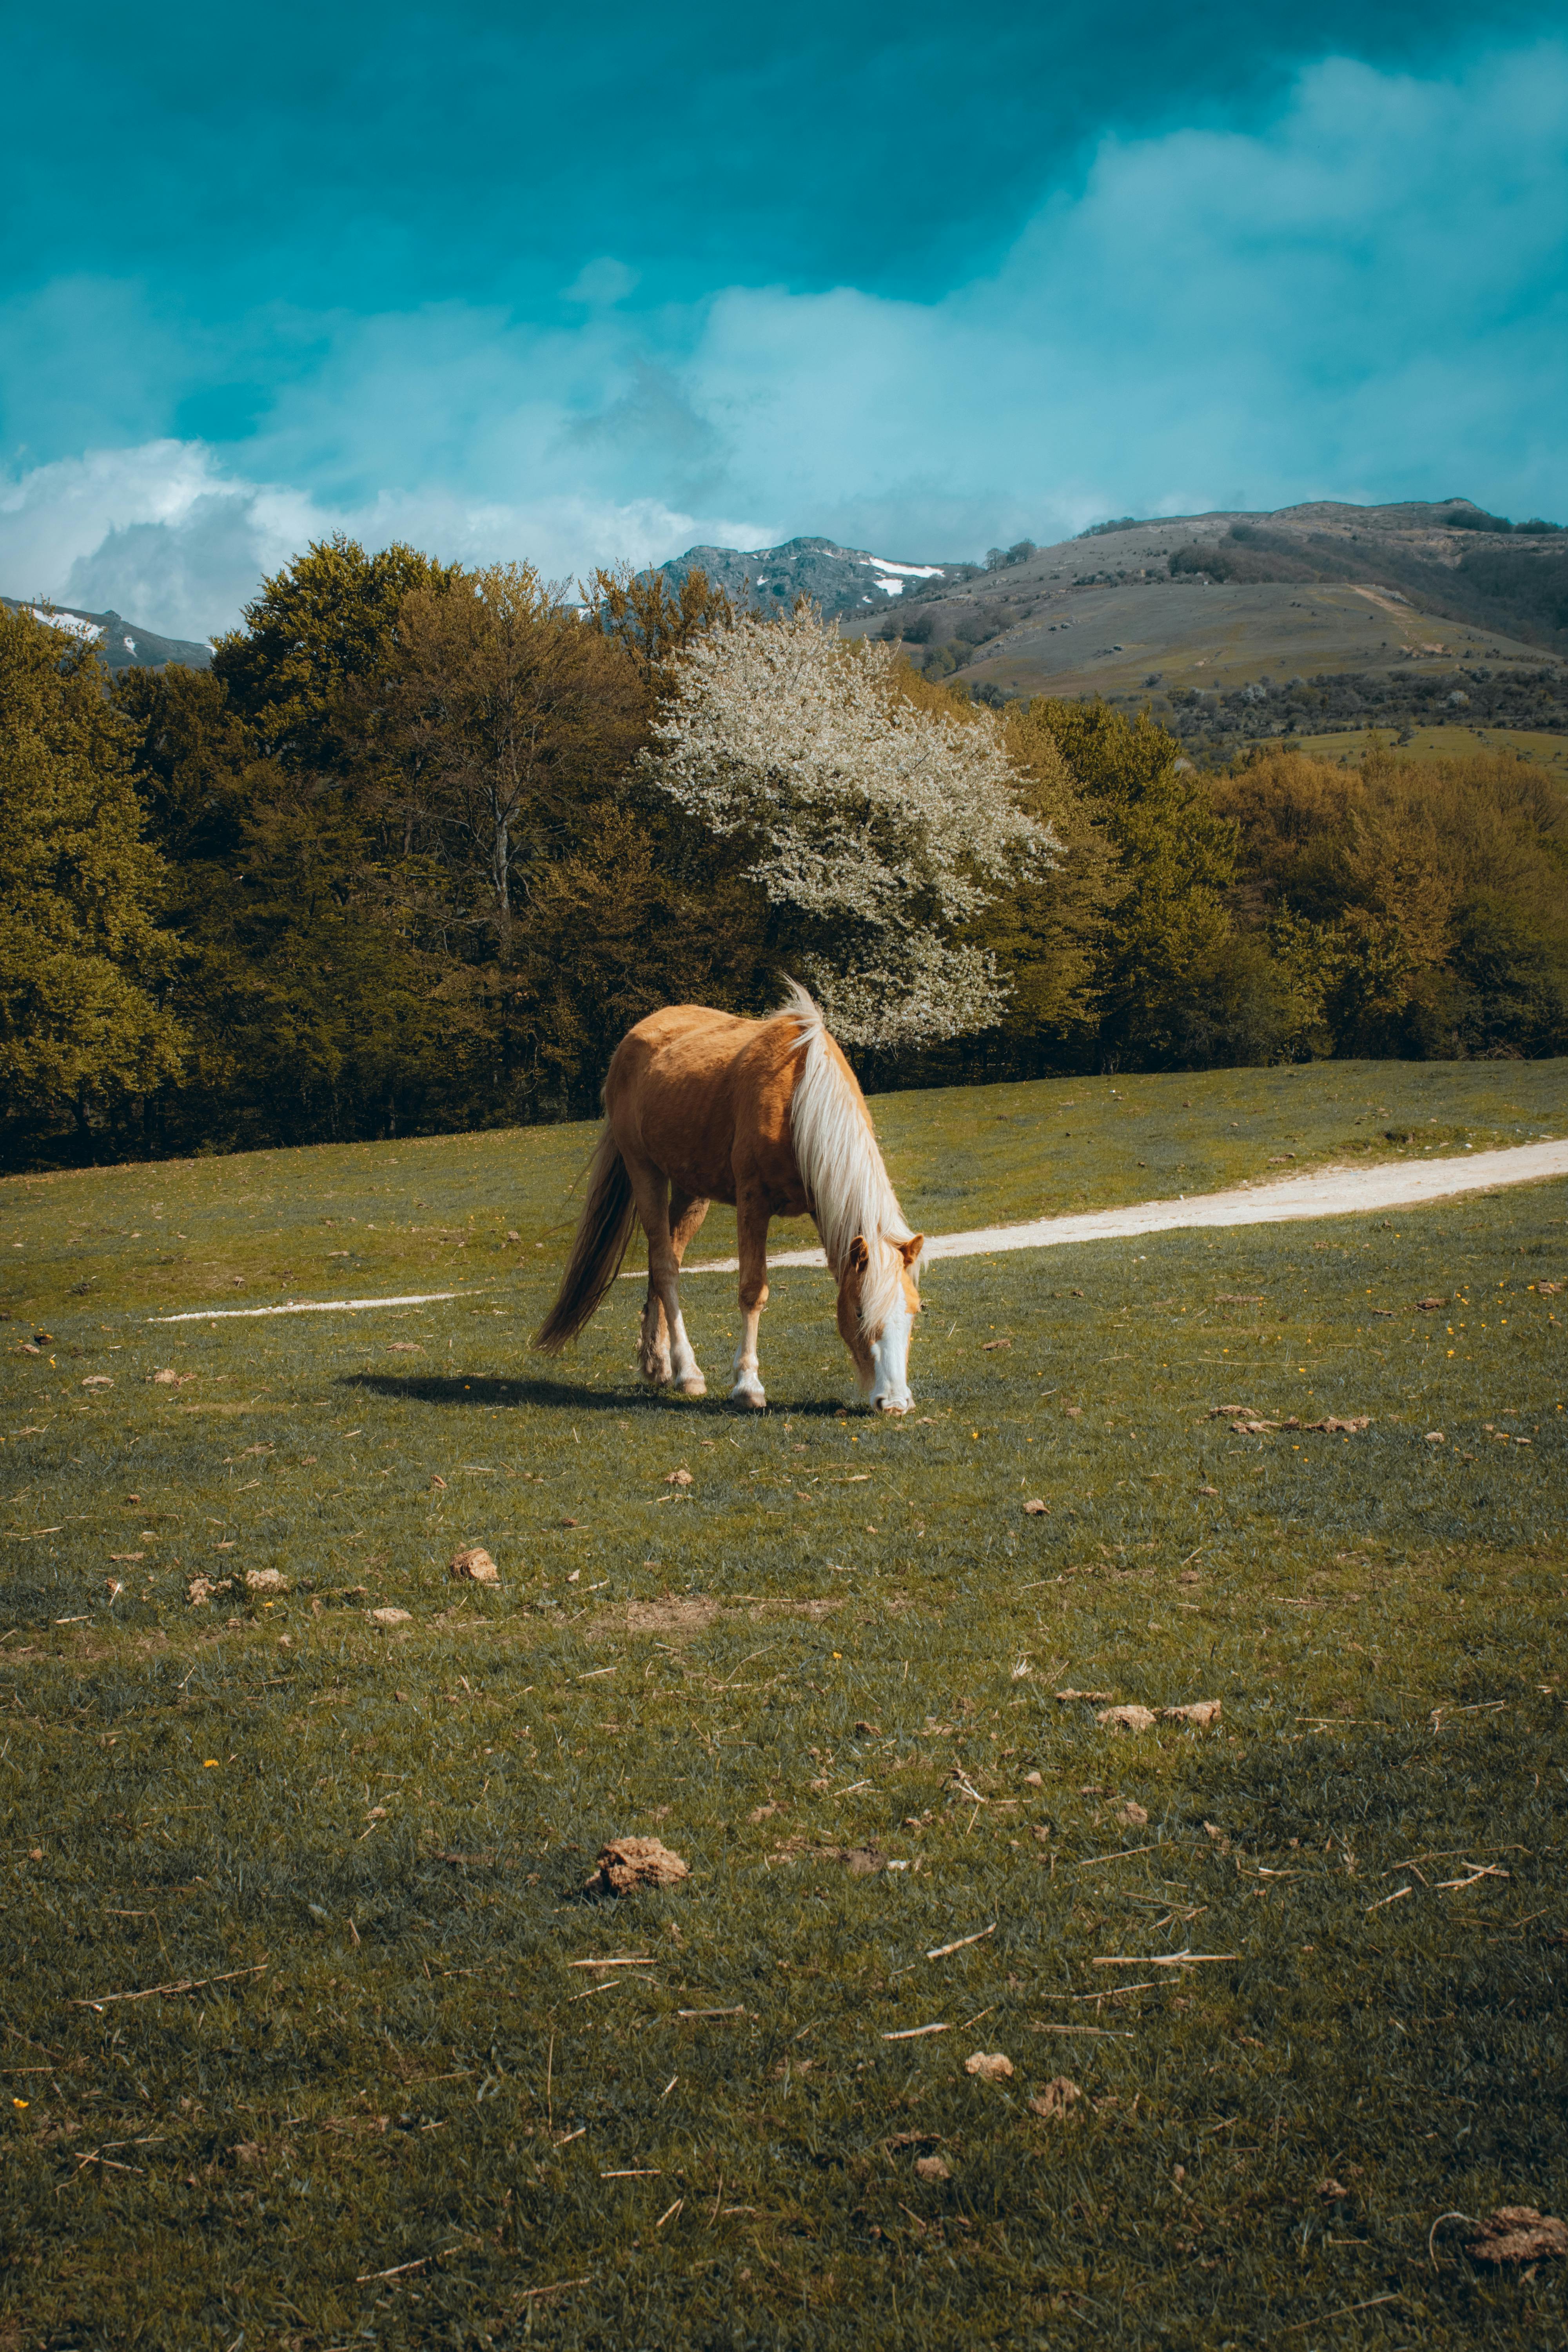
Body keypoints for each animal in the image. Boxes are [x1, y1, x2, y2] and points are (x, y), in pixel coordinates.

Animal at [534, 983, 926, 1402]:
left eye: (914, 1310)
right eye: (860, 1312)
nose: (895, 1402)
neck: (798, 1095)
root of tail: (630, 1042)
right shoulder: (753, 1203)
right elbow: (753, 1291)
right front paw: (748, 1384)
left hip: (691, 1191)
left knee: (664, 1261)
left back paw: (659, 1364)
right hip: (645, 1172)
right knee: (665, 1267)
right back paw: (688, 1372)